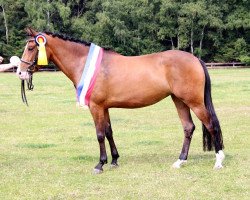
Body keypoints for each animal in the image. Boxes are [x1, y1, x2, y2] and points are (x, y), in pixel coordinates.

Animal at [17, 28, 225, 173]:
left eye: (31, 47)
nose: (20, 72)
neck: (87, 64)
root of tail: (195, 59)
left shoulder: (96, 107)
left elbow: (100, 134)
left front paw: (100, 164)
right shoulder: (105, 107)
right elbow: (109, 132)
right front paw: (114, 160)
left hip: (194, 102)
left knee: (211, 125)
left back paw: (218, 161)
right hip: (179, 100)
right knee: (188, 127)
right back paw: (180, 161)